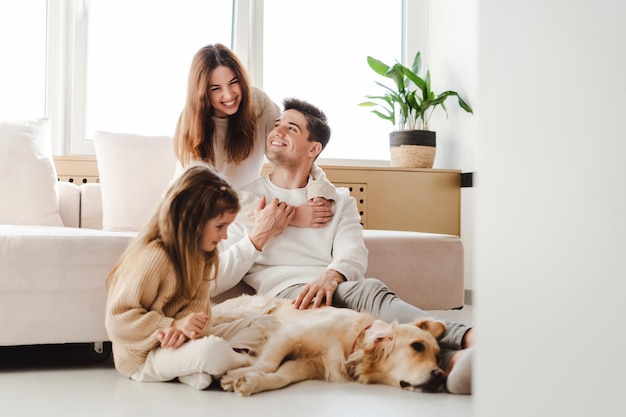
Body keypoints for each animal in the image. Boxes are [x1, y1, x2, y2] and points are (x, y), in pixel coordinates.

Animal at [212, 294, 446, 394]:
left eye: (439, 358)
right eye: (417, 346)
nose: (440, 376)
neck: (352, 342)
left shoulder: (307, 364)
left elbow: (281, 376)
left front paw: (251, 382)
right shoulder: (288, 335)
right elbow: (268, 364)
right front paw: (234, 375)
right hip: (244, 311)